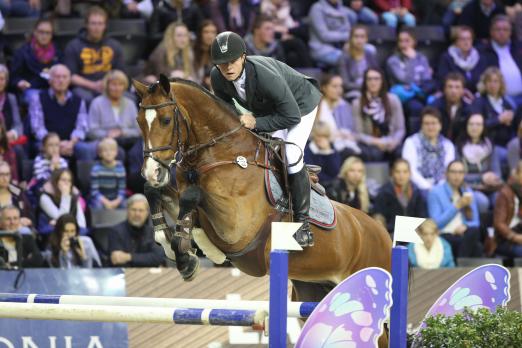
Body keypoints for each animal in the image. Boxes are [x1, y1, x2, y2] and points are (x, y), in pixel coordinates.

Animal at [133, 74, 390, 346]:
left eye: (165, 120)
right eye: (139, 122)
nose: (152, 171)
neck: (221, 152)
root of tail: (383, 233)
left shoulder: (236, 224)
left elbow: (193, 196)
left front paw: (186, 256)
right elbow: (156, 193)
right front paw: (170, 241)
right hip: (313, 291)